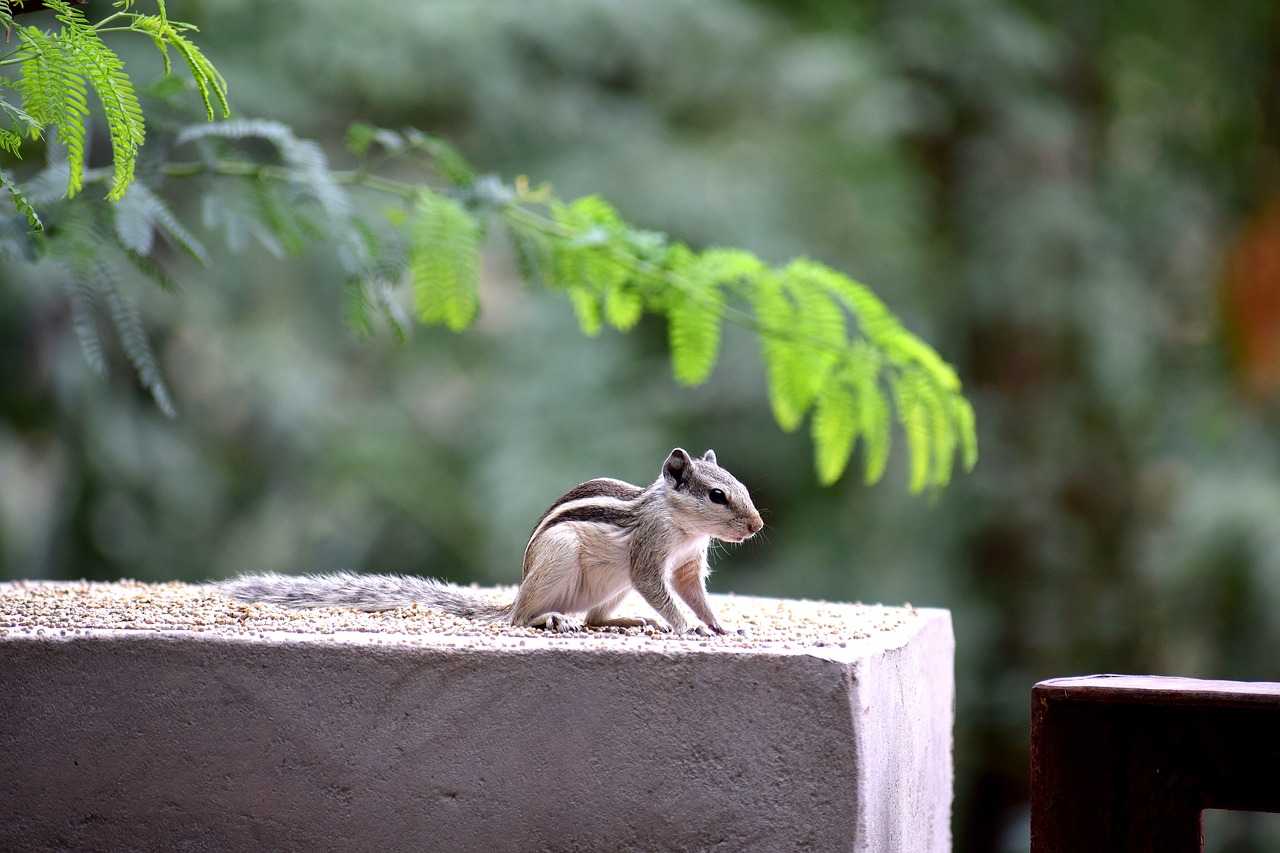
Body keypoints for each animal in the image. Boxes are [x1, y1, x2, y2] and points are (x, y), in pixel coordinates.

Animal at [215, 445, 762, 630]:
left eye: (741, 487)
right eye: (717, 495)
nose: (756, 526)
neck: (682, 525)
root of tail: (518, 594)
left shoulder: (687, 565)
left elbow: (693, 593)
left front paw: (719, 626)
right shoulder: (649, 556)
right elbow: (661, 590)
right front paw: (685, 627)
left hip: (610, 585)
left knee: (595, 619)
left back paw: (626, 621)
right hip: (560, 559)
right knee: (523, 619)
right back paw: (550, 619)